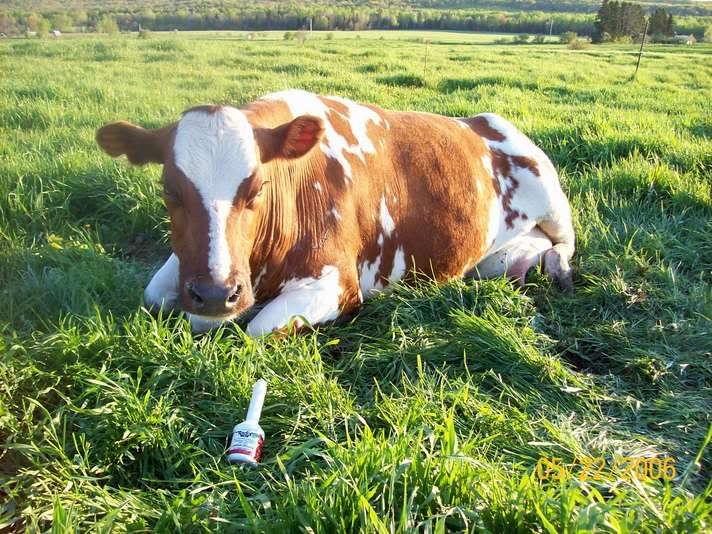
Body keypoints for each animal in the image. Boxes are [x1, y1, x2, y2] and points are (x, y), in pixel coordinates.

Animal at [96, 90, 575, 335]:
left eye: (257, 189)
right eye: (168, 190)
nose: (215, 294)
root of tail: (478, 119)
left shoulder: (337, 281)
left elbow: (258, 327)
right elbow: (155, 294)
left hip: (552, 195)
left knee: (565, 243)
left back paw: (558, 268)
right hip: (495, 255)